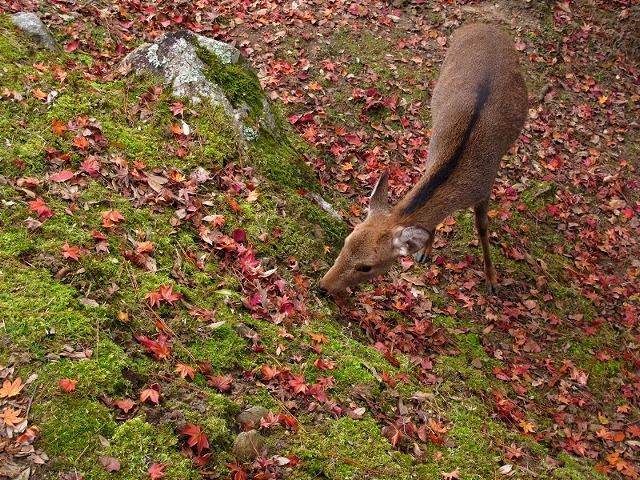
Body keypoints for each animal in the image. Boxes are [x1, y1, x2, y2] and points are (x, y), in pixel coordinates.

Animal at [318, 24, 528, 298]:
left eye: (366, 267)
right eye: (346, 241)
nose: (322, 287)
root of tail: (486, 25)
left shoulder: (486, 187)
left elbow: (482, 227)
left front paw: (493, 281)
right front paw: (425, 251)